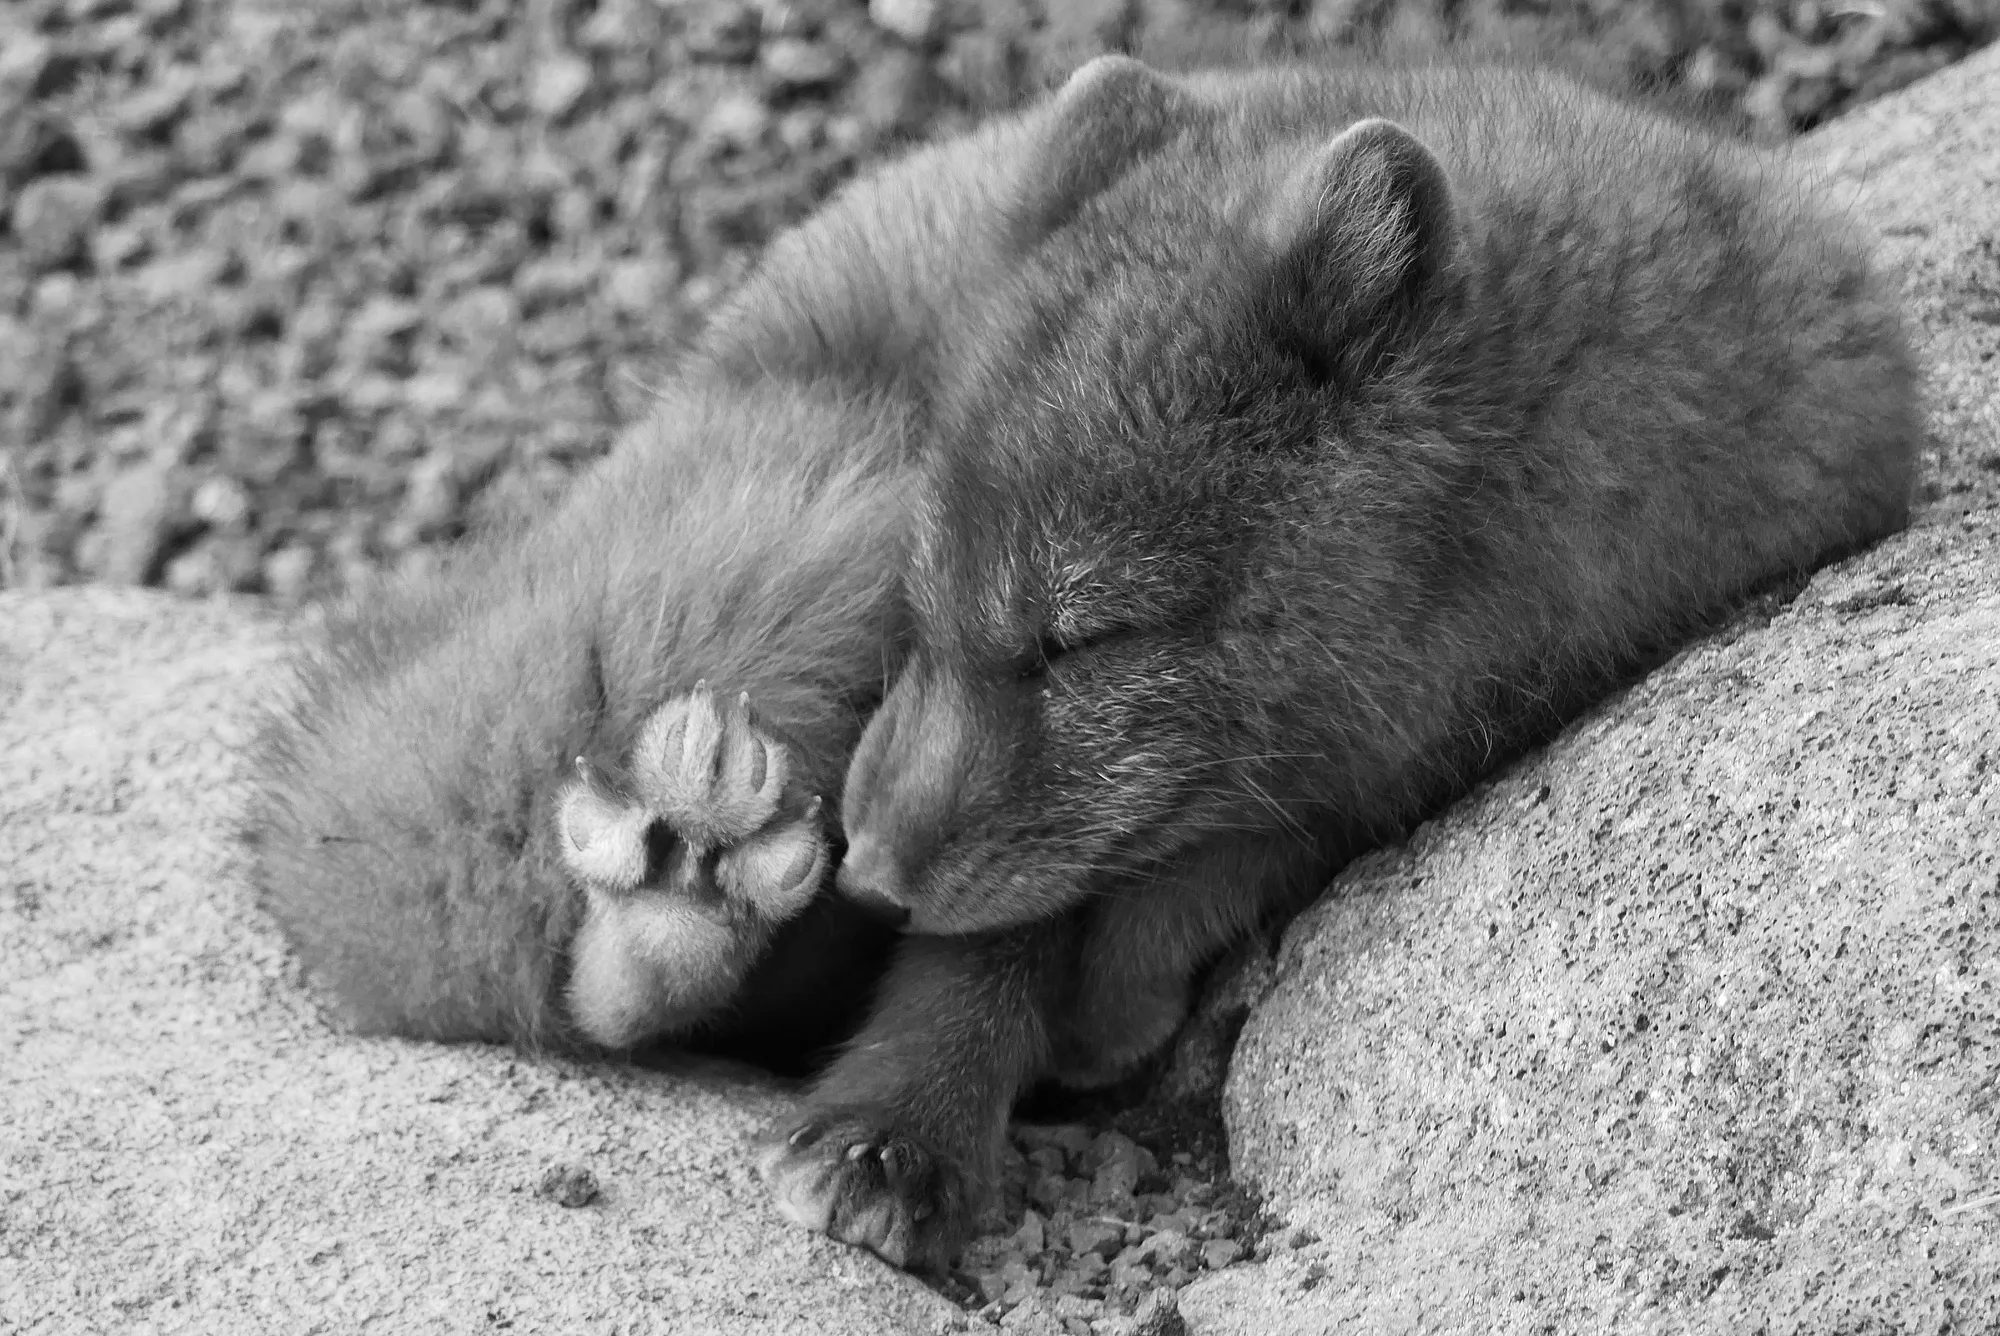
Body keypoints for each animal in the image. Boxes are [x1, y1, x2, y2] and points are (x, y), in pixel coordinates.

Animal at [757, 57, 1920, 1267]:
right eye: (919, 601)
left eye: (1078, 640)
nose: (864, 879)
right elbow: (986, 942)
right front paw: (894, 1128)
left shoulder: (1432, 738)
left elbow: (1253, 839)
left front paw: (1107, 995)